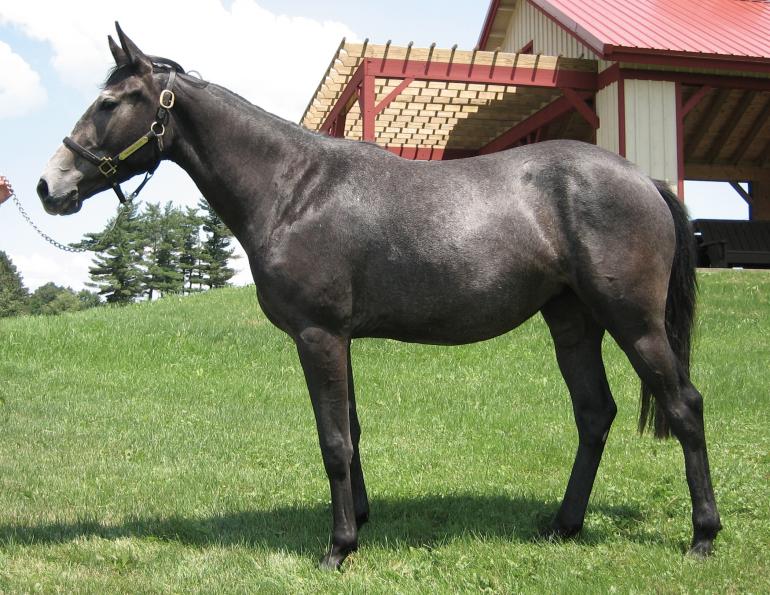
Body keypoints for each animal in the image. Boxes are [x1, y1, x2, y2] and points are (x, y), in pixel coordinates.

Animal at [37, 24, 721, 569]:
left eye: (109, 102)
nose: (49, 185)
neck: (295, 189)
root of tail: (643, 179)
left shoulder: (318, 336)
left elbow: (334, 441)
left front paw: (339, 547)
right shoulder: (338, 339)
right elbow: (353, 431)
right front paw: (359, 520)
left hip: (634, 323)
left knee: (684, 406)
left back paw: (702, 536)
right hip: (572, 322)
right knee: (594, 413)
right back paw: (563, 526)